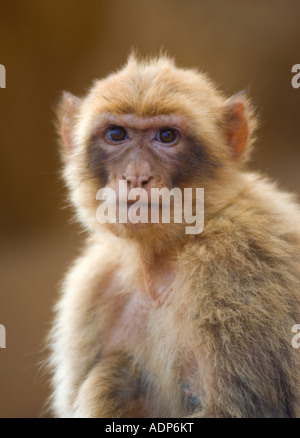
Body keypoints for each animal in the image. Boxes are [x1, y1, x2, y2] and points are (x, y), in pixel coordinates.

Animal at [48, 54, 300, 418]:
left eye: (166, 136)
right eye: (116, 134)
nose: (136, 176)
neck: (167, 255)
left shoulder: (233, 268)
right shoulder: (91, 287)